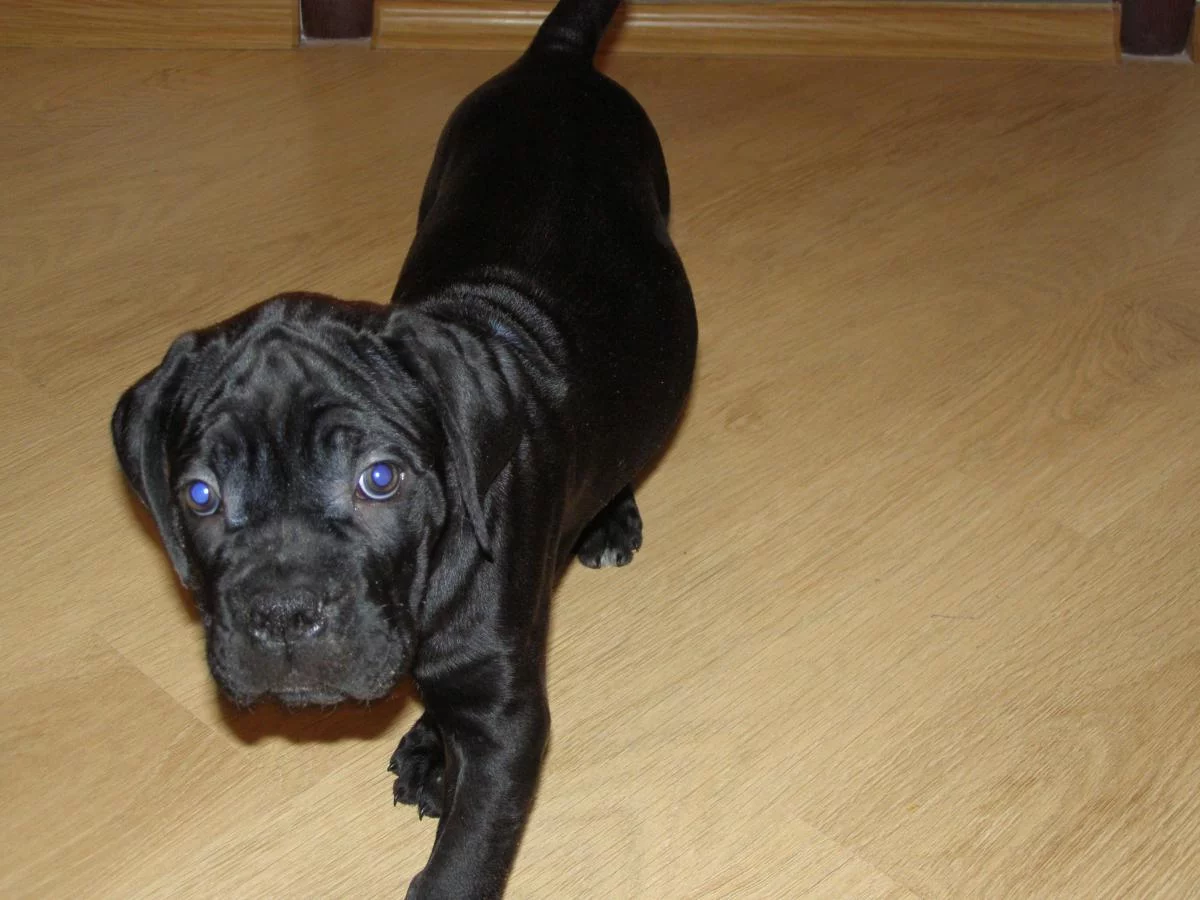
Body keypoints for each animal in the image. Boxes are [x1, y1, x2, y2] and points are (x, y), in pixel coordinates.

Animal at [111, 0, 695, 895]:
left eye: (379, 479)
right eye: (200, 495)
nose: (283, 614)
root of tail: (557, 60)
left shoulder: (505, 719)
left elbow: (467, 852)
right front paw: (427, 744)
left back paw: (609, 519)